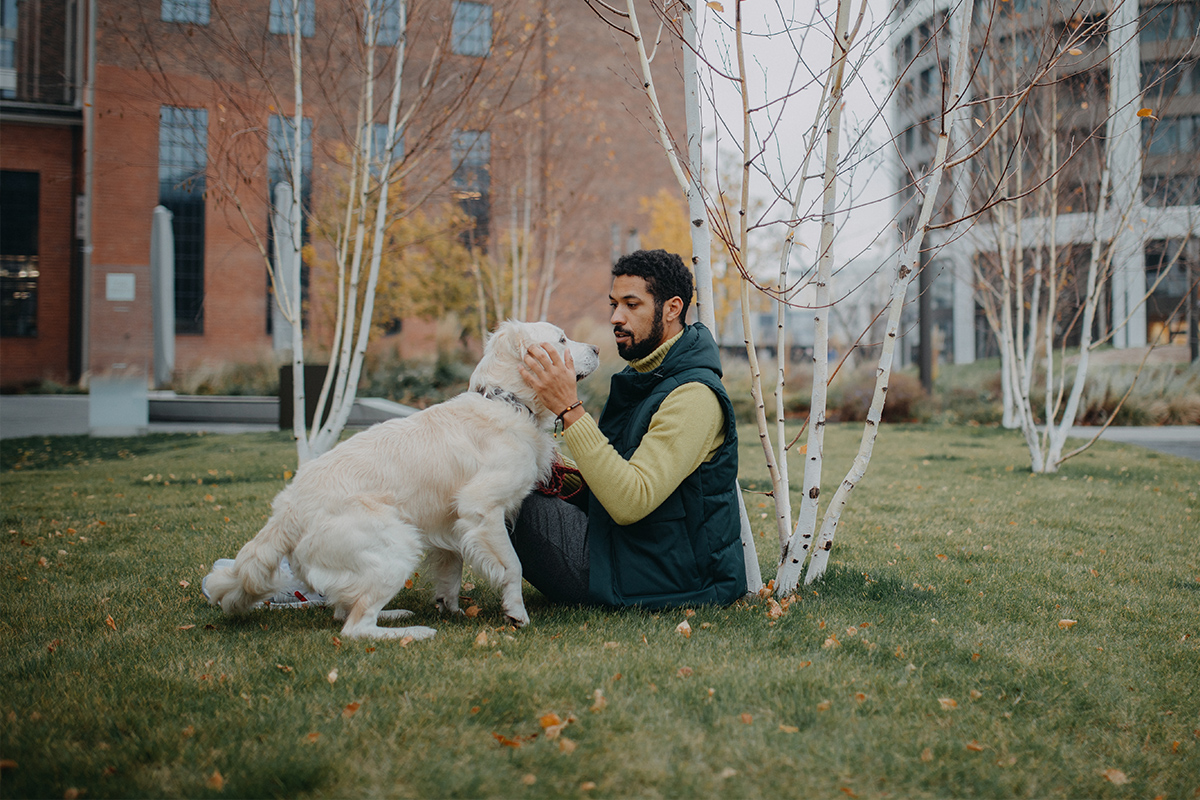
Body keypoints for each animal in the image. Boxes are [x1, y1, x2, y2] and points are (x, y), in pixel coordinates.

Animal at [206, 321, 604, 642]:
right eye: (562, 339)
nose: (599, 348)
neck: (506, 402)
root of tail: (288, 508)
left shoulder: (452, 522)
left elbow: (451, 571)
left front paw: (450, 606)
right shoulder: (482, 510)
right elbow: (512, 567)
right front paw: (517, 614)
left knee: (343, 609)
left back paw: (395, 614)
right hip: (397, 546)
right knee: (354, 628)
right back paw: (413, 632)